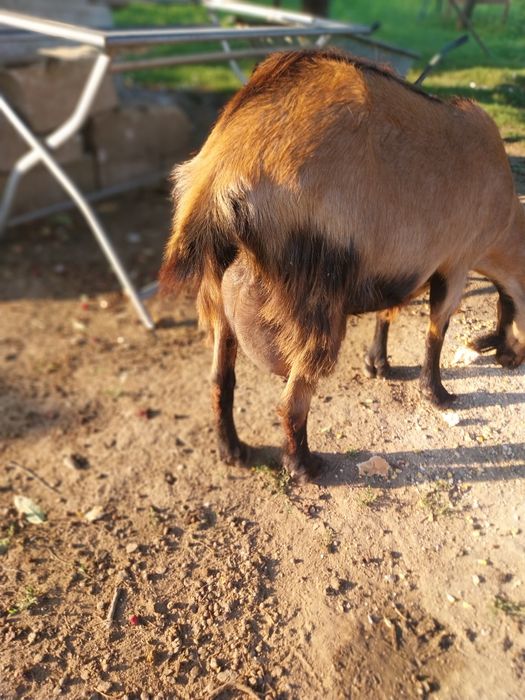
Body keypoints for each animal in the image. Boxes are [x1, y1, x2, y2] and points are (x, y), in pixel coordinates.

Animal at [160, 48, 525, 482]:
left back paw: (232, 450)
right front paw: (436, 393)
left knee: (220, 378)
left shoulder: (405, 264)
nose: (510, 360)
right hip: (315, 296)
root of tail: (222, 168)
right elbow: (437, 329)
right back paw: (303, 465)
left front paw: (378, 364)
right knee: (293, 399)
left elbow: (388, 312)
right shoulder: (456, 261)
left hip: (219, 291)